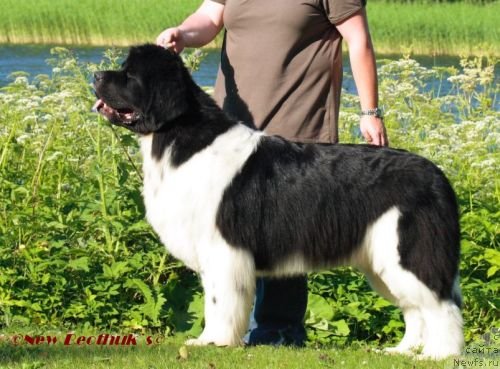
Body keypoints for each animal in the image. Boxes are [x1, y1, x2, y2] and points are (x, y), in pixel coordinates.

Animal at [93, 44, 460, 358]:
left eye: (129, 75)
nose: (96, 75)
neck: (179, 136)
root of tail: (438, 175)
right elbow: (212, 301)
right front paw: (205, 339)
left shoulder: (223, 249)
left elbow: (220, 300)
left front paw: (216, 342)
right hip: (382, 261)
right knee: (415, 309)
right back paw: (402, 351)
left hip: (409, 253)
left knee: (442, 306)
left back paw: (439, 355)